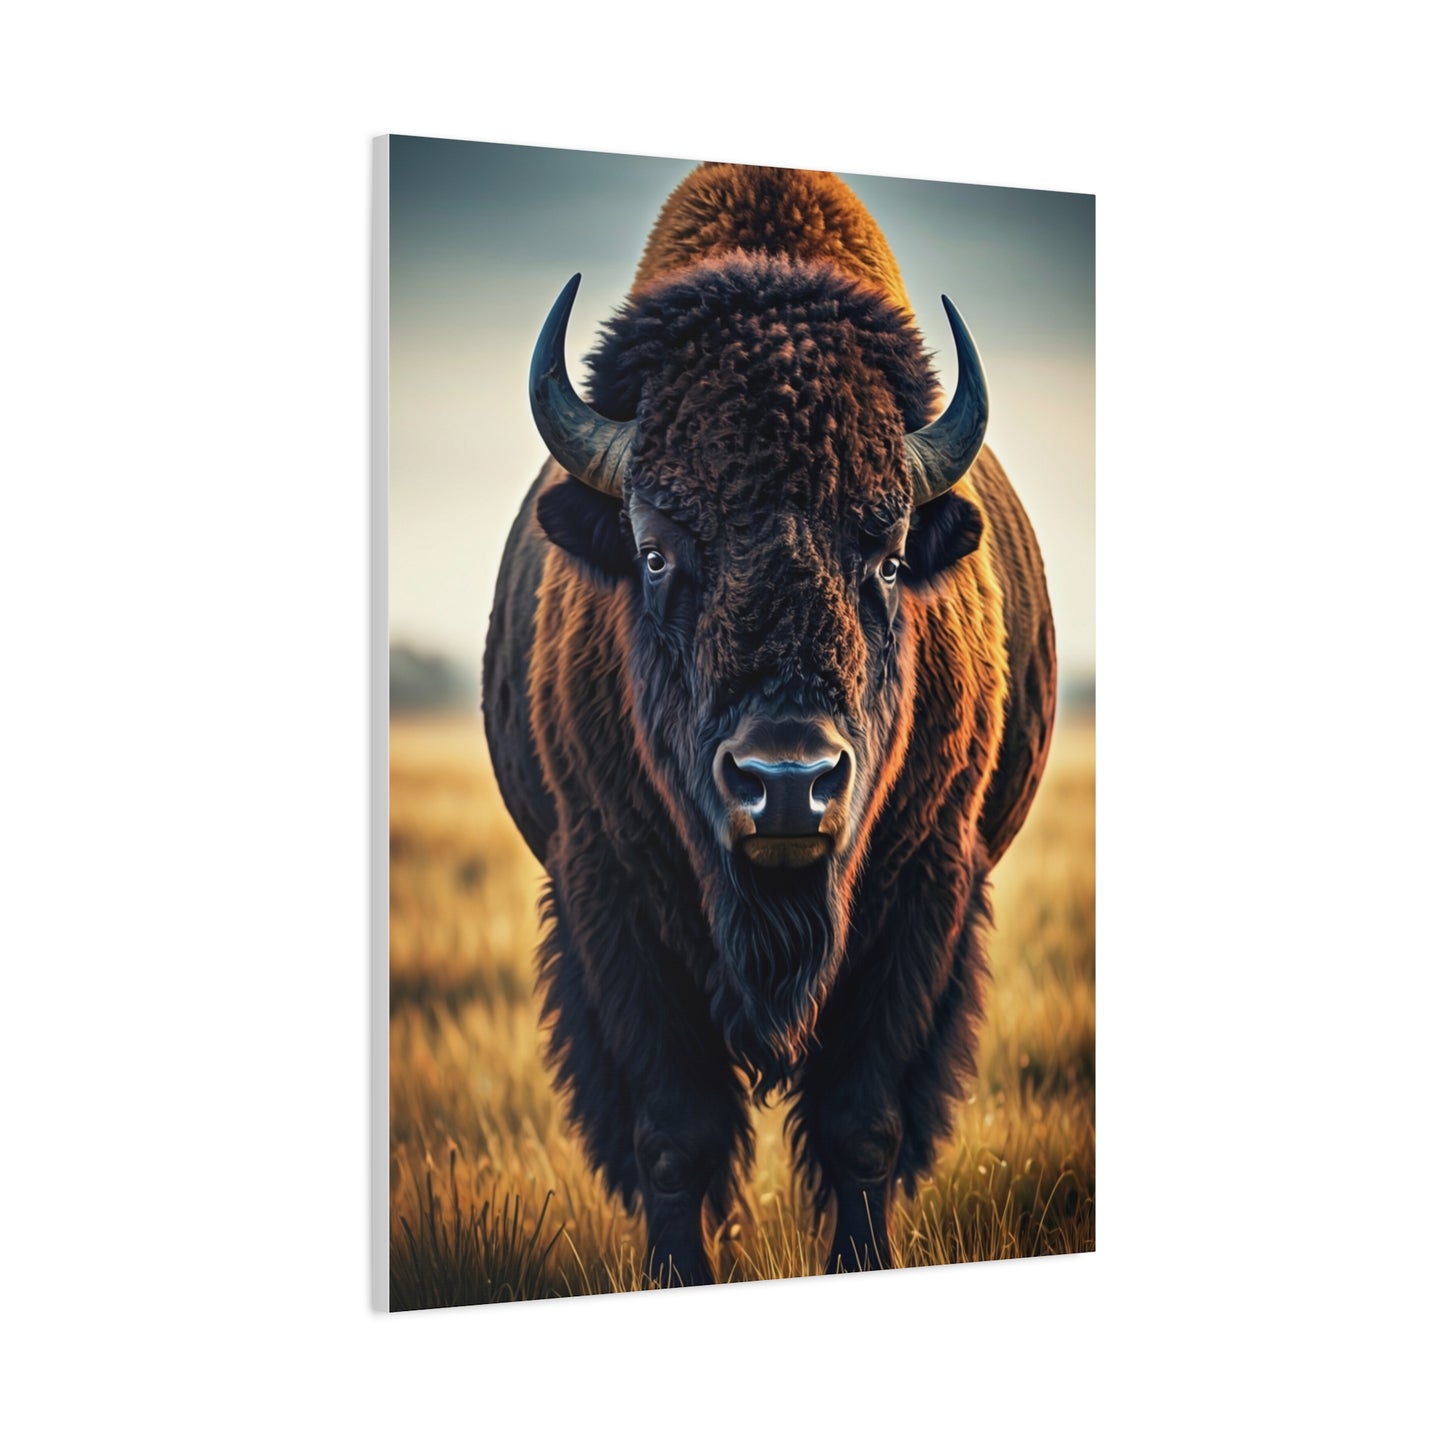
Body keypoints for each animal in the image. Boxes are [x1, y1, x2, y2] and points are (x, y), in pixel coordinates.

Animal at [483, 163, 1056, 1284]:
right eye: (655, 549)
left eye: (887, 554)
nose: (787, 783)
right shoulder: (605, 891)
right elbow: (675, 1130)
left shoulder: (925, 888)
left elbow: (862, 1123)